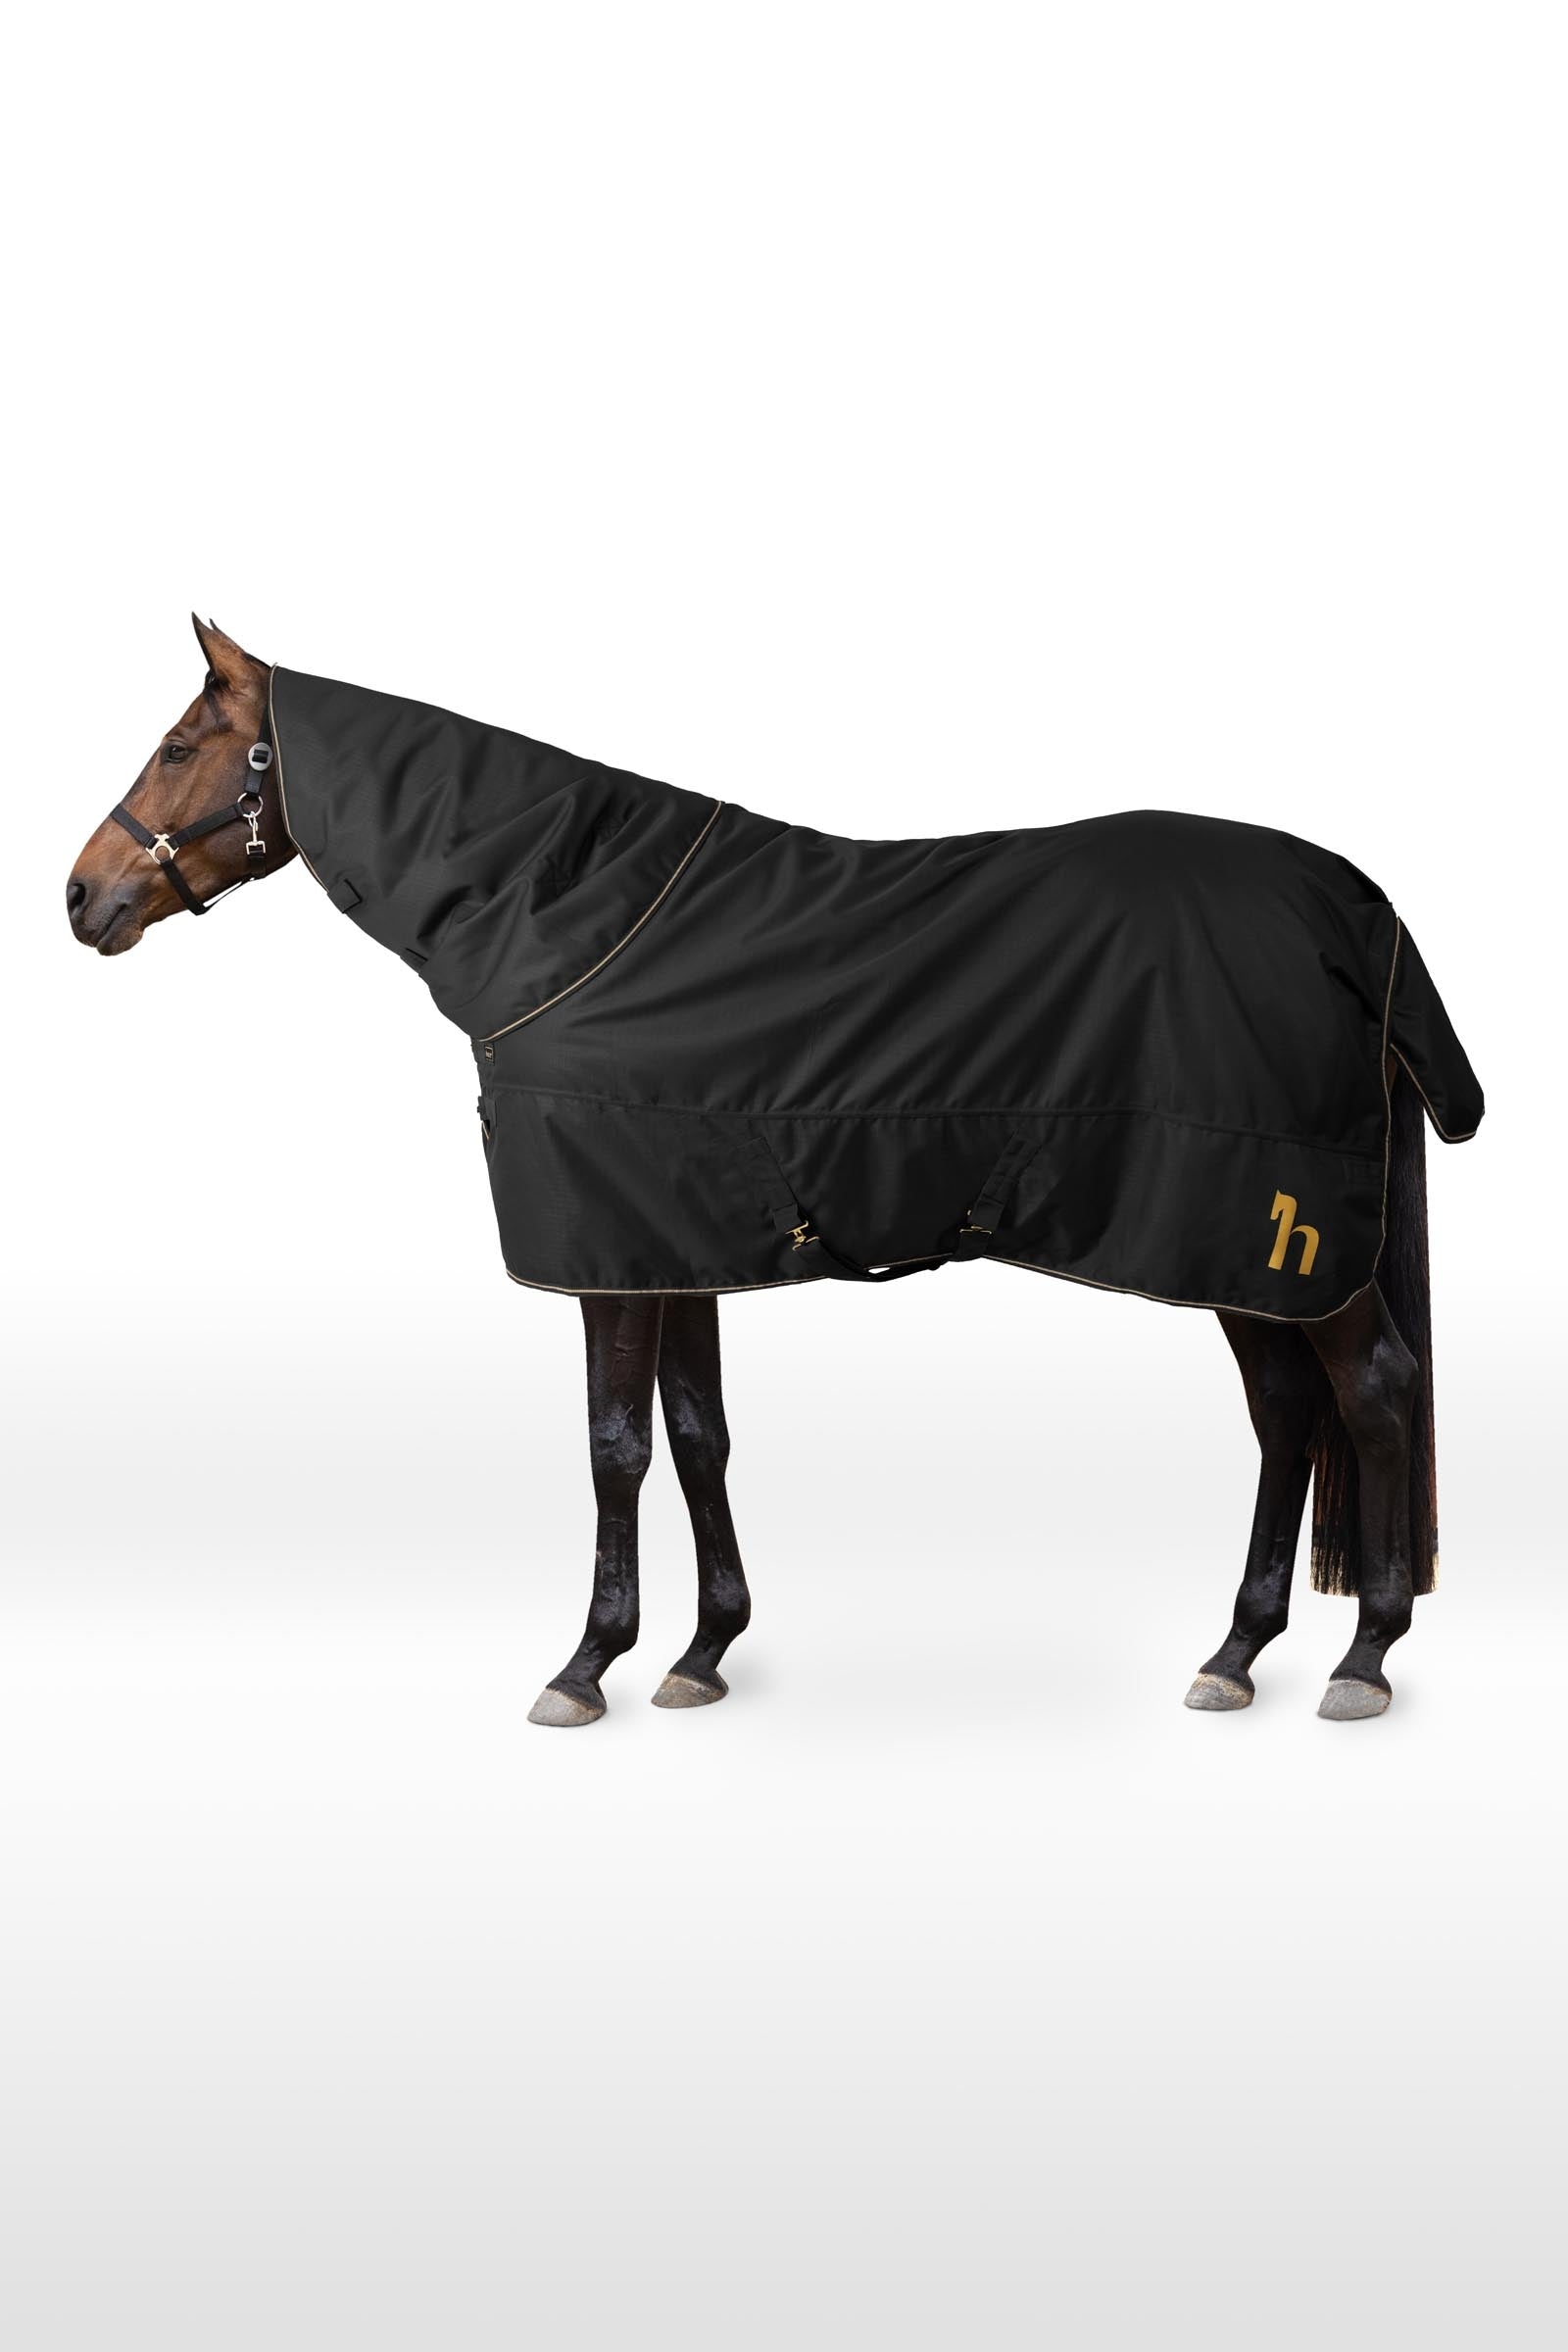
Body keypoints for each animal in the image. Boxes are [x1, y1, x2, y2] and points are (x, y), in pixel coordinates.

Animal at [67, 617, 1481, 1728]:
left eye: (181, 748)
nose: (82, 897)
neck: (567, 919)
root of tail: (1353, 909)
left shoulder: (608, 1256)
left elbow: (616, 1448)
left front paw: (586, 1665)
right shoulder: (669, 1237)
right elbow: (699, 1435)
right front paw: (702, 1652)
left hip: (1273, 1231)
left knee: (1373, 1393)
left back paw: (1364, 1657)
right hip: (1232, 1248)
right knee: (1289, 1414)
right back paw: (1237, 1651)